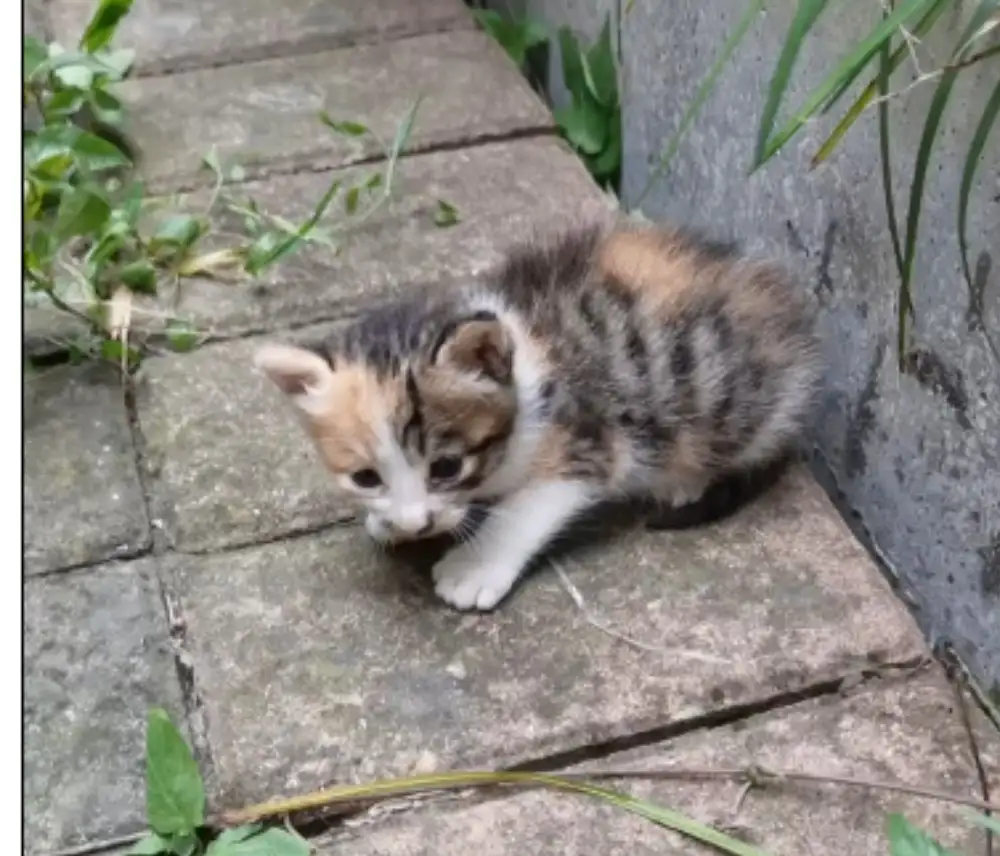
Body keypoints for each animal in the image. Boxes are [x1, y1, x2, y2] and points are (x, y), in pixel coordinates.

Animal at [250, 221, 820, 608]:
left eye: (447, 467)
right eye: (366, 477)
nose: (415, 523)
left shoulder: (593, 441)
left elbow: (525, 509)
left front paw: (476, 567)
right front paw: (386, 522)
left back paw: (684, 480)